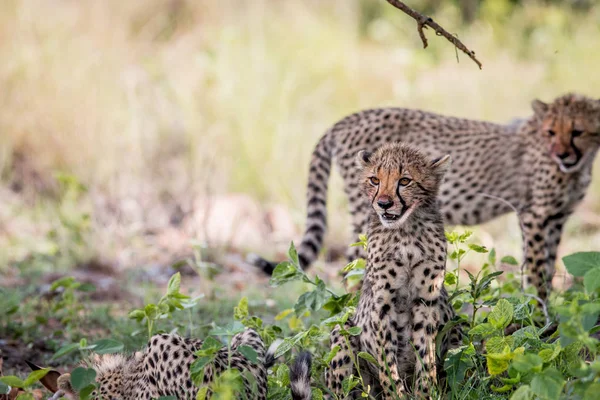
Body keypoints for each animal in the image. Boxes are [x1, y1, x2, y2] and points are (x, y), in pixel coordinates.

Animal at [252, 93, 600, 300]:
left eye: (578, 131)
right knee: (354, 270)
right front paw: (538, 320)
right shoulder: (535, 215)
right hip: (370, 213)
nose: (562, 154)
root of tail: (345, 120)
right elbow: (537, 273)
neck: (579, 163)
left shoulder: (556, 218)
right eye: (551, 132)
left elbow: (549, 268)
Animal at [326, 142, 462, 398]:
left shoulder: (426, 299)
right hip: (343, 332)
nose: (384, 203)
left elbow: (426, 355)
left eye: (405, 181)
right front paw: (395, 394)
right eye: (374, 180)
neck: (405, 231)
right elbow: (386, 361)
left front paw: (425, 393)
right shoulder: (382, 303)